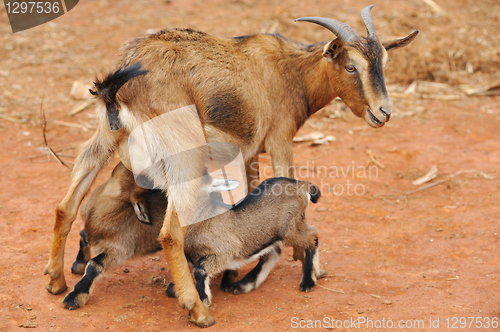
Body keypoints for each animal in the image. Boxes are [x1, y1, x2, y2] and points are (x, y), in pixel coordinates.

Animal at [44, 5, 418, 326]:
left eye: (384, 60)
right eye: (350, 65)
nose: (383, 112)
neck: (289, 70)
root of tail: (119, 84)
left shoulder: (250, 153)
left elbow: (250, 196)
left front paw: (238, 272)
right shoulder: (281, 141)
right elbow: (289, 186)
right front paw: (308, 267)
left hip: (103, 141)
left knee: (66, 206)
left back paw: (57, 282)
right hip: (184, 158)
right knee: (169, 233)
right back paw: (197, 309)